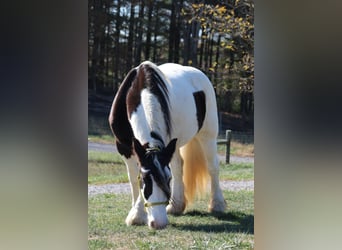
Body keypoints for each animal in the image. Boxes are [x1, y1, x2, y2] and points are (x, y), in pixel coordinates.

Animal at [109, 61, 226, 229]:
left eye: (167, 179)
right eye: (145, 179)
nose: (159, 223)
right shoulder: (124, 147)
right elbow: (133, 178)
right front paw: (137, 214)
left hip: (208, 134)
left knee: (212, 167)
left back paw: (217, 204)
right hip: (175, 146)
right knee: (178, 167)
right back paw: (176, 206)